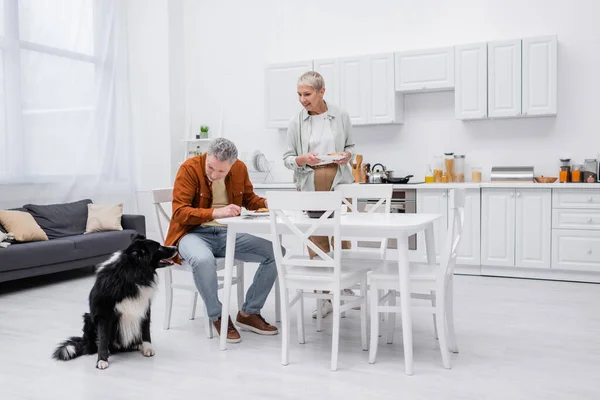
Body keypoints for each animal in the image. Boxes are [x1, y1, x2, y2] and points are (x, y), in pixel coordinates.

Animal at [52, 236, 176, 370]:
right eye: (158, 247)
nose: (175, 247)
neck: (133, 273)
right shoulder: (104, 314)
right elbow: (103, 337)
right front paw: (102, 360)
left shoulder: (144, 307)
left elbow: (146, 330)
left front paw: (147, 348)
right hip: (89, 318)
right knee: (93, 345)